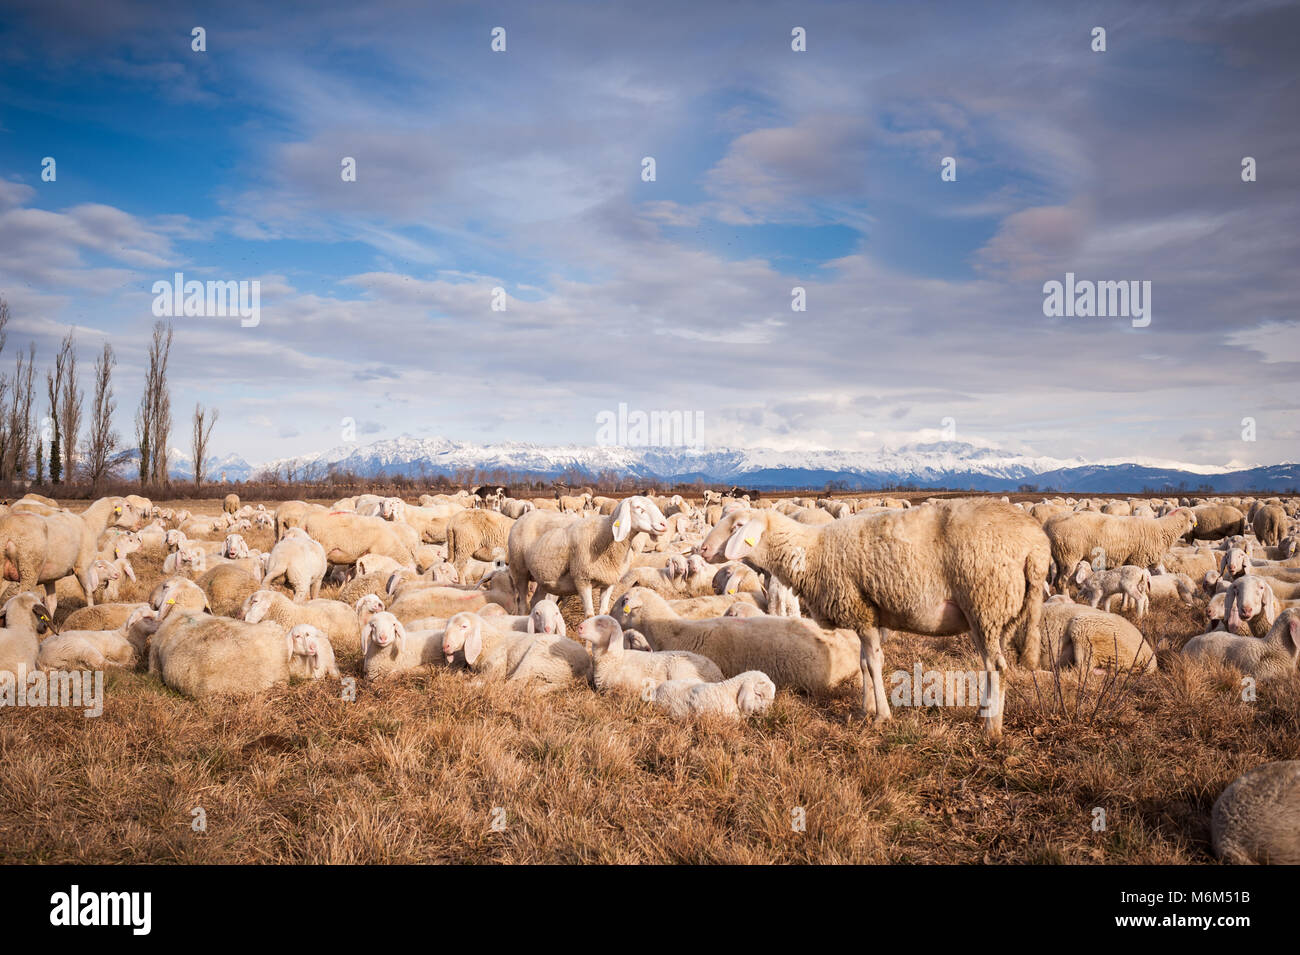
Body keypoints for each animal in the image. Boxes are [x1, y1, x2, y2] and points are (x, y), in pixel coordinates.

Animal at [441, 608, 595, 691]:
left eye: (464, 626)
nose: (445, 646)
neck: (490, 641)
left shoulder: (494, 669)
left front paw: (468, 682)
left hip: (535, 658)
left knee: (512, 685)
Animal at [506, 496, 670, 615]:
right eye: (638, 508)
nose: (664, 525)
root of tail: (524, 516)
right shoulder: (582, 580)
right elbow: (590, 615)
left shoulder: (609, 582)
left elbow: (603, 613)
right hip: (519, 570)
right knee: (522, 604)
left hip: (544, 577)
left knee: (535, 601)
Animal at [702, 501, 1045, 738]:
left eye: (738, 526)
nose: (703, 548)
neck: (811, 551)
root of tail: (1037, 547)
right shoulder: (867, 614)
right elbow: (865, 662)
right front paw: (864, 708)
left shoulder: (861, 610)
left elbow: (876, 663)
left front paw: (882, 716)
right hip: (1000, 615)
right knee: (992, 666)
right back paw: (983, 713)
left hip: (985, 601)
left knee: (996, 666)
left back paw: (991, 727)